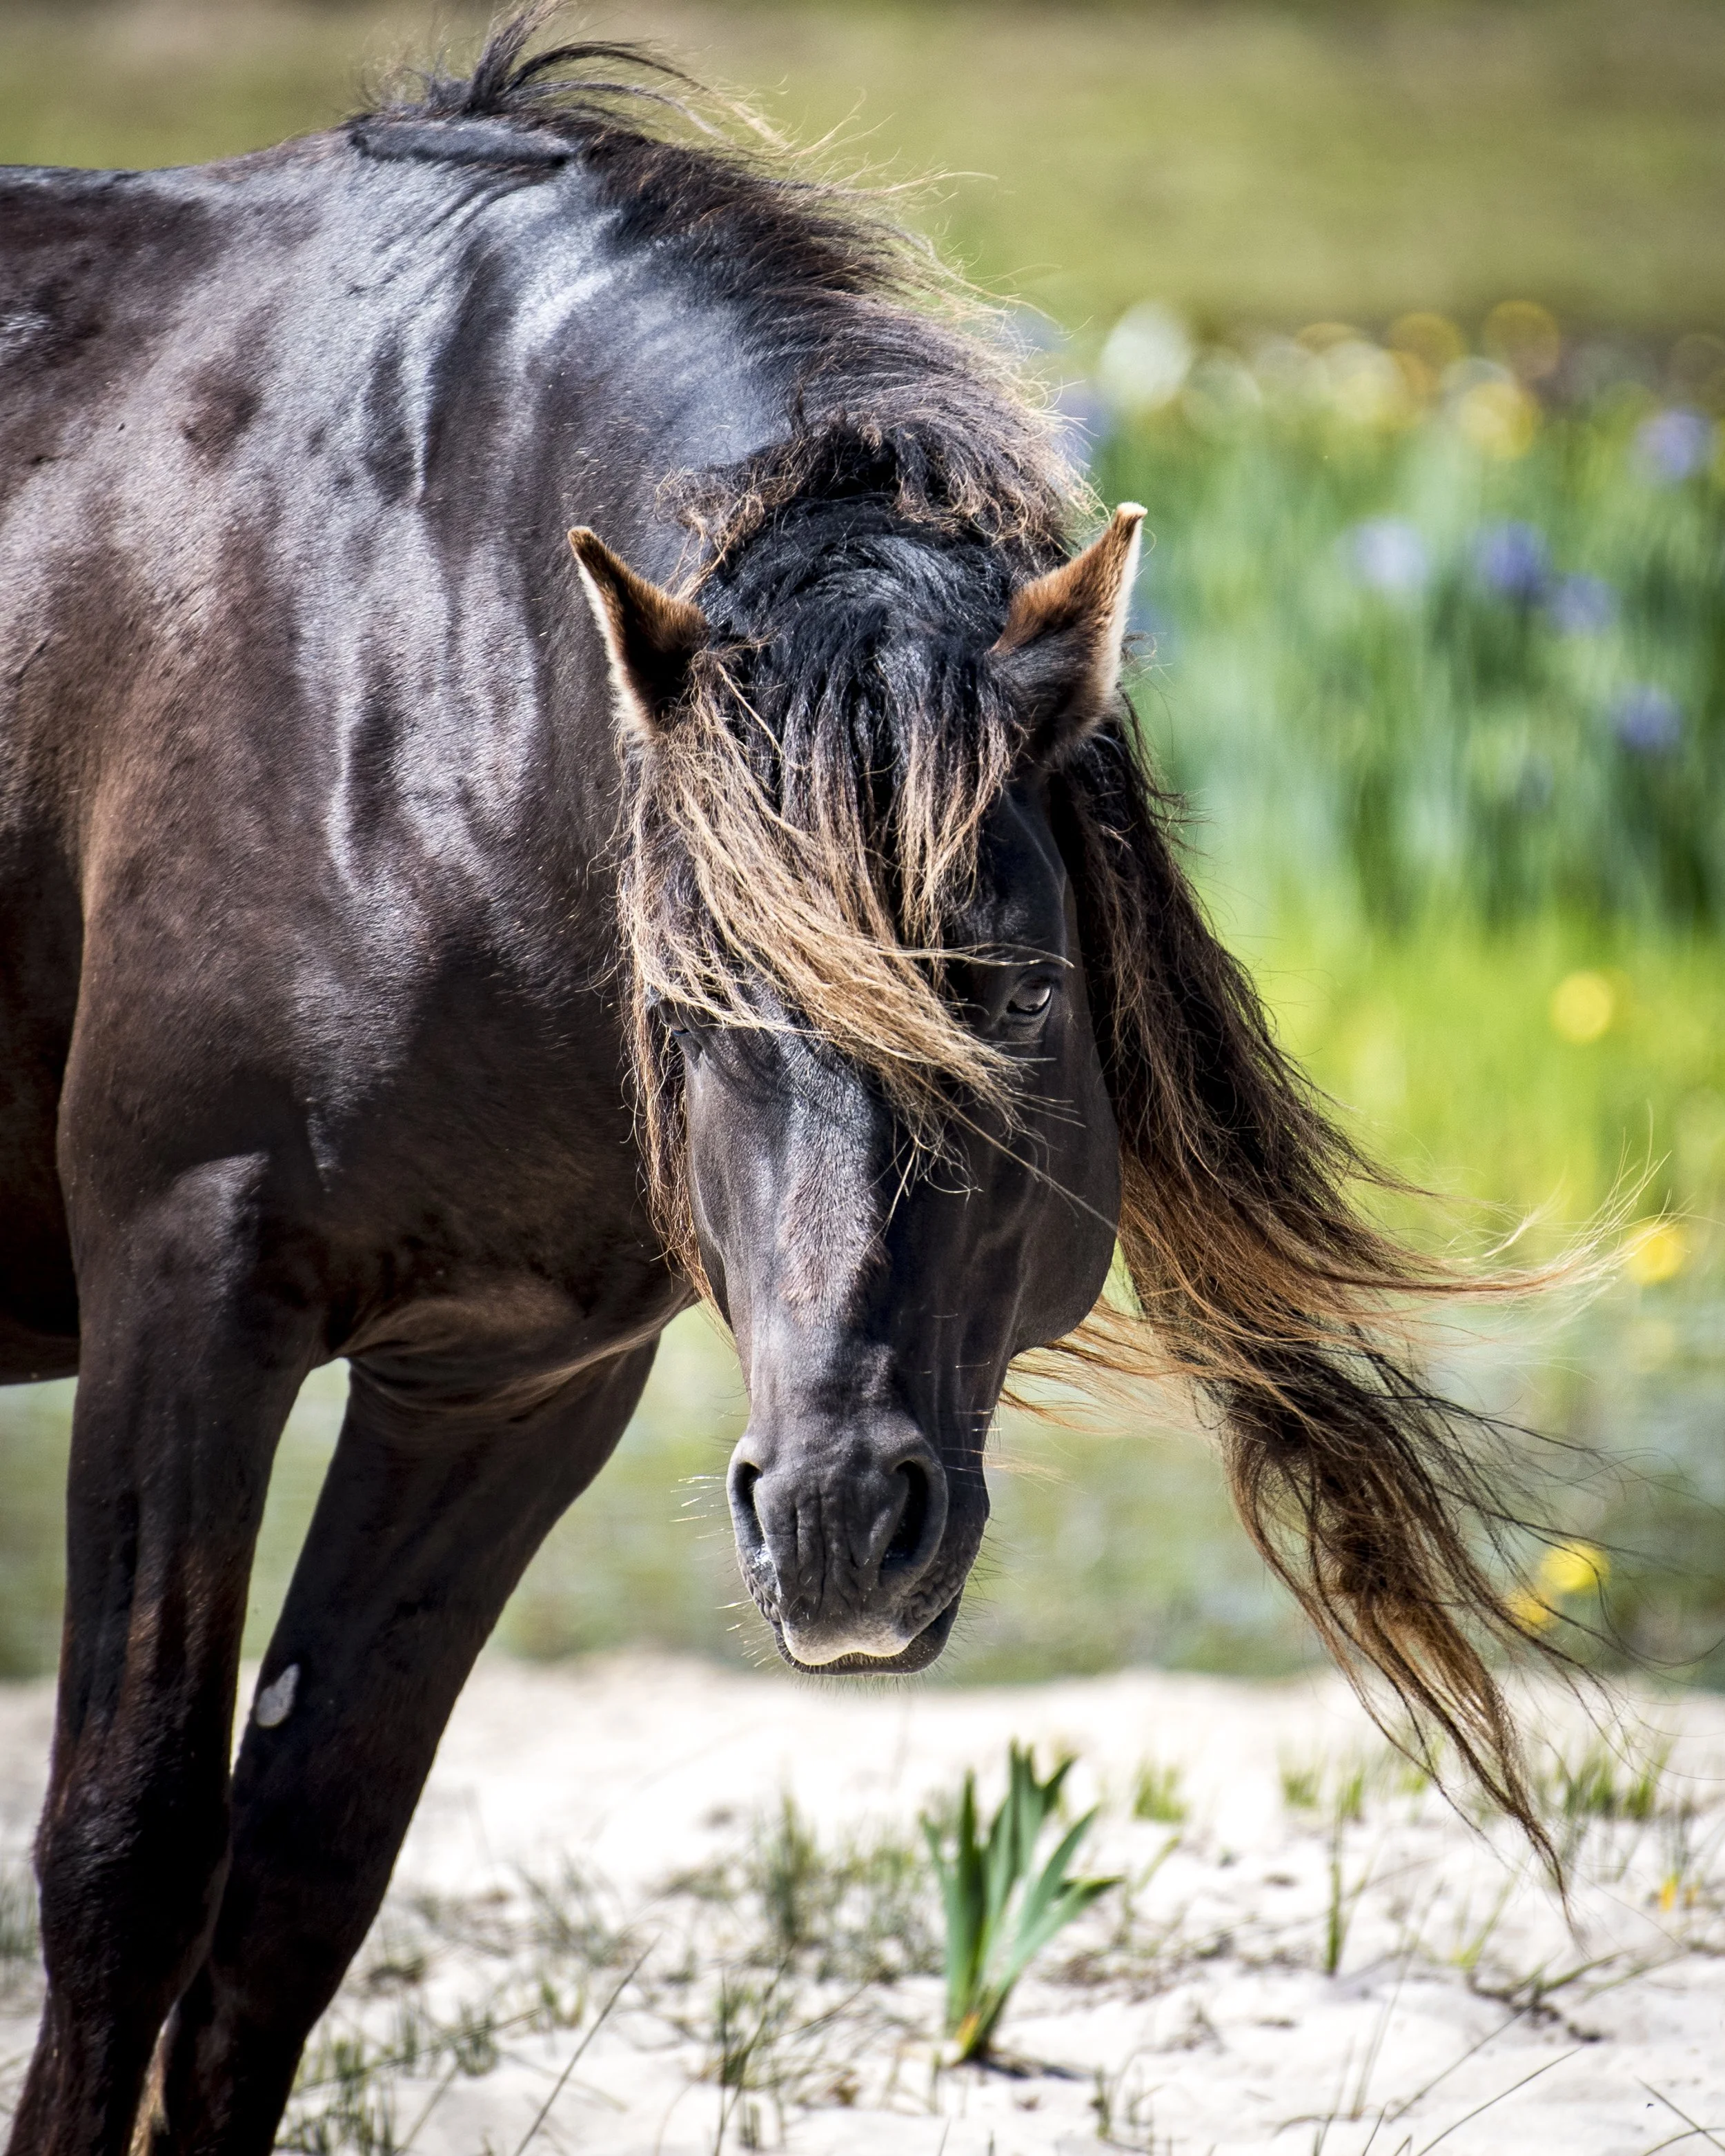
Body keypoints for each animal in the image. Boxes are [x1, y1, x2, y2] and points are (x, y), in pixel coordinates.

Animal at [0, 20, 1551, 2153]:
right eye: (694, 999)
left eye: (1009, 993)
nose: (834, 1525)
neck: (387, 651)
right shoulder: (186, 1284)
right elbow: (123, 1858)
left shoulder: (502, 1380)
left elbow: (296, 1878)